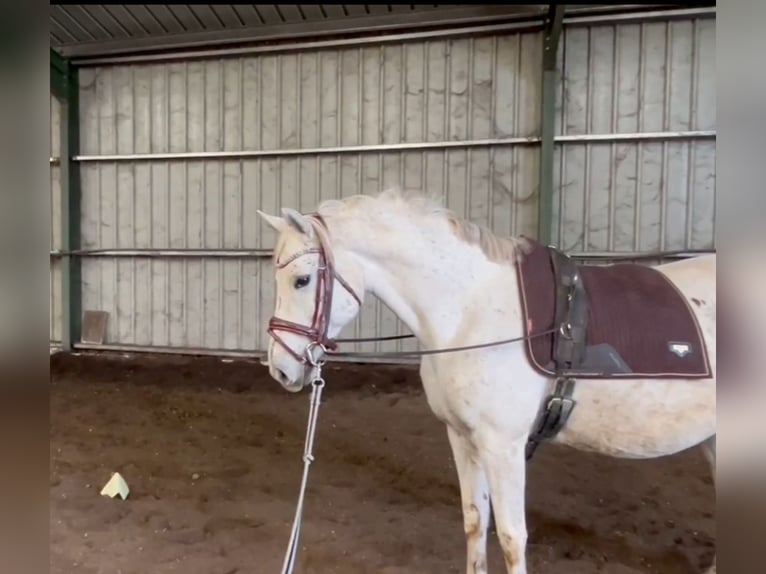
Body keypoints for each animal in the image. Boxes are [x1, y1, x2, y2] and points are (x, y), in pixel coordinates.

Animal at [260, 190, 720, 574]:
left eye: (302, 279)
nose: (280, 369)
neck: (471, 310)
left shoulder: (504, 447)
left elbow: (513, 538)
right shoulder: (462, 438)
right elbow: (474, 521)